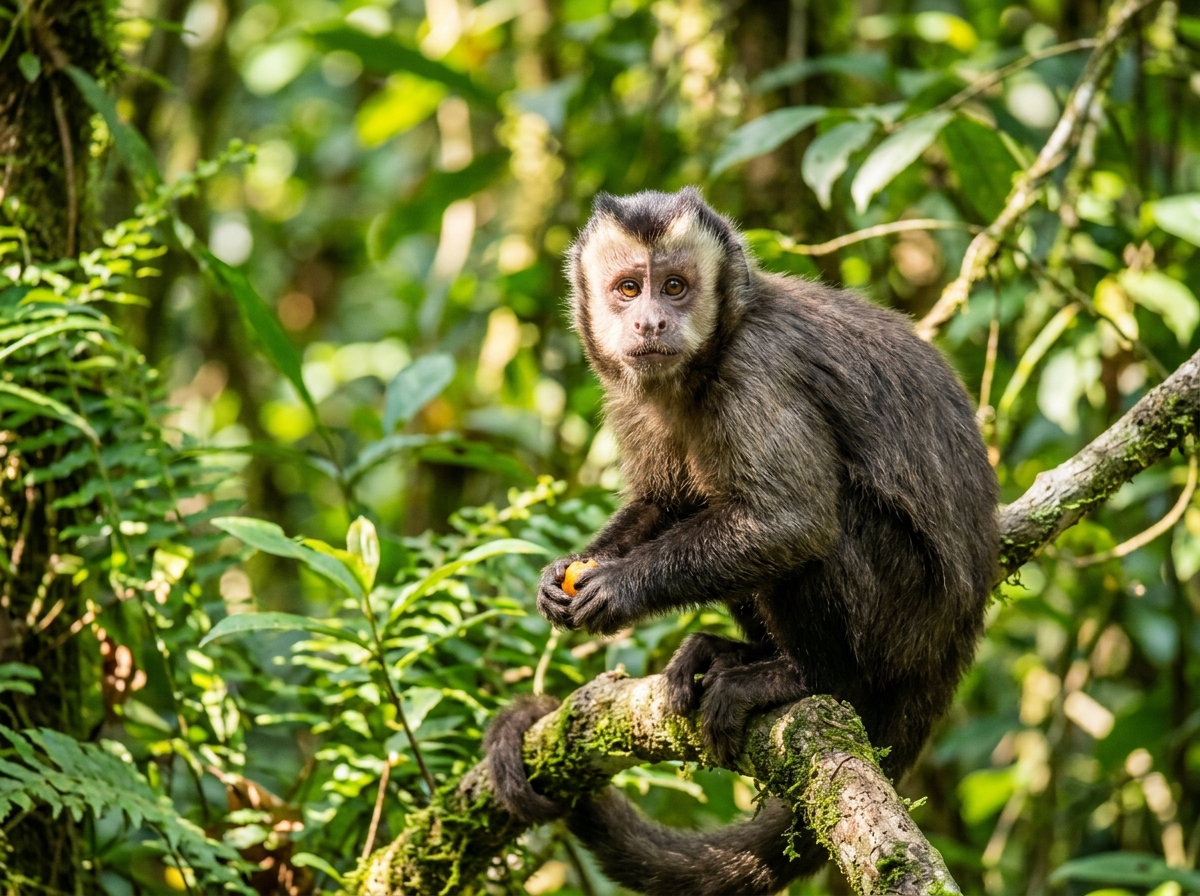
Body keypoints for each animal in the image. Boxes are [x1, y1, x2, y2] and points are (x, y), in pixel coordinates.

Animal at [485, 187, 998, 895]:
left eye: (675, 287)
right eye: (628, 288)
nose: (650, 323)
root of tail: (956, 639)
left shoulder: (760, 367)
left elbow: (792, 521)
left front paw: (617, 587)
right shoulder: (629, 394)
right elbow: (666, 503)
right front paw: (562, 573)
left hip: (906, 619)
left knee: (825, 530)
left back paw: (804, 676)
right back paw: (734, 654)